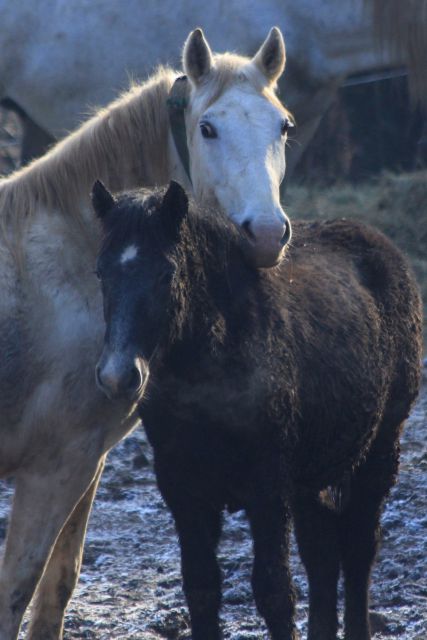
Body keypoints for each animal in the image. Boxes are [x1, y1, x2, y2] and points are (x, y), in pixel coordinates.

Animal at [0, 27, 292, 636]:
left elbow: (55, 589)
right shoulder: (52, 466)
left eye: (283, 126)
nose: (265, 235)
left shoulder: (84, 463)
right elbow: (15, 591)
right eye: (208, 128)